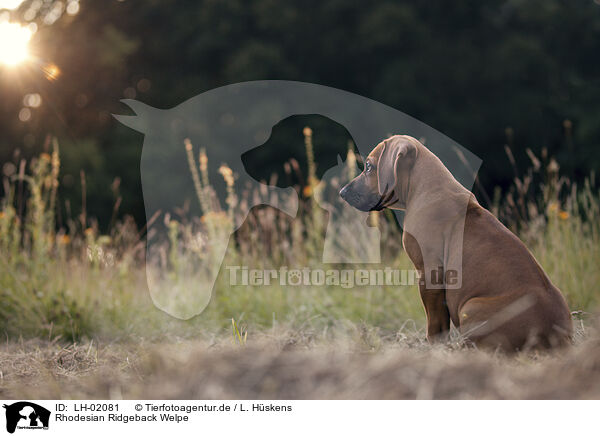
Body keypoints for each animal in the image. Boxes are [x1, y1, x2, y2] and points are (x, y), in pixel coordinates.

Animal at [340, 135, 576, 352]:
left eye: (369, 166)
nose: (342, 192)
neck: (427, 187)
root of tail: (556, 338)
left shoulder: (429, 273)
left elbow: (435, 322)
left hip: (471, 306)